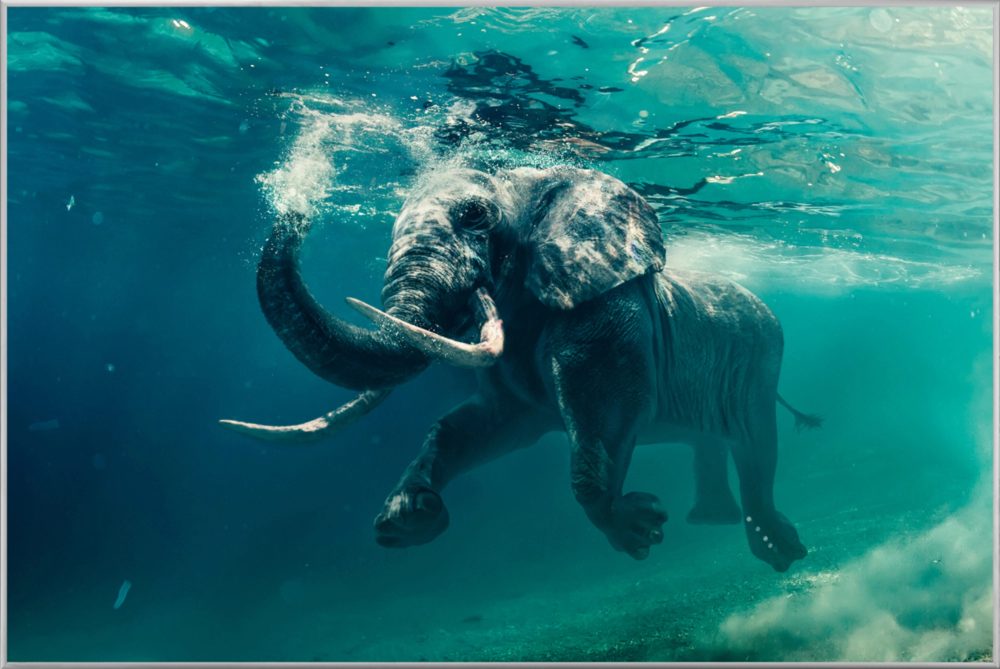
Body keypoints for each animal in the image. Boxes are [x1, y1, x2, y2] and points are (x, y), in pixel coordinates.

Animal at [221, 165, 821, 572]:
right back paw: (715, 523)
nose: (298, 204)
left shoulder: (607, 311)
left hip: (762, 360)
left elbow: (606, 412)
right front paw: (407, 520)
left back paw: (779, 552)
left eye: (474, 217)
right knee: (714, 441)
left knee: (756, 445)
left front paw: (639, 529)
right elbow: (477, 426)